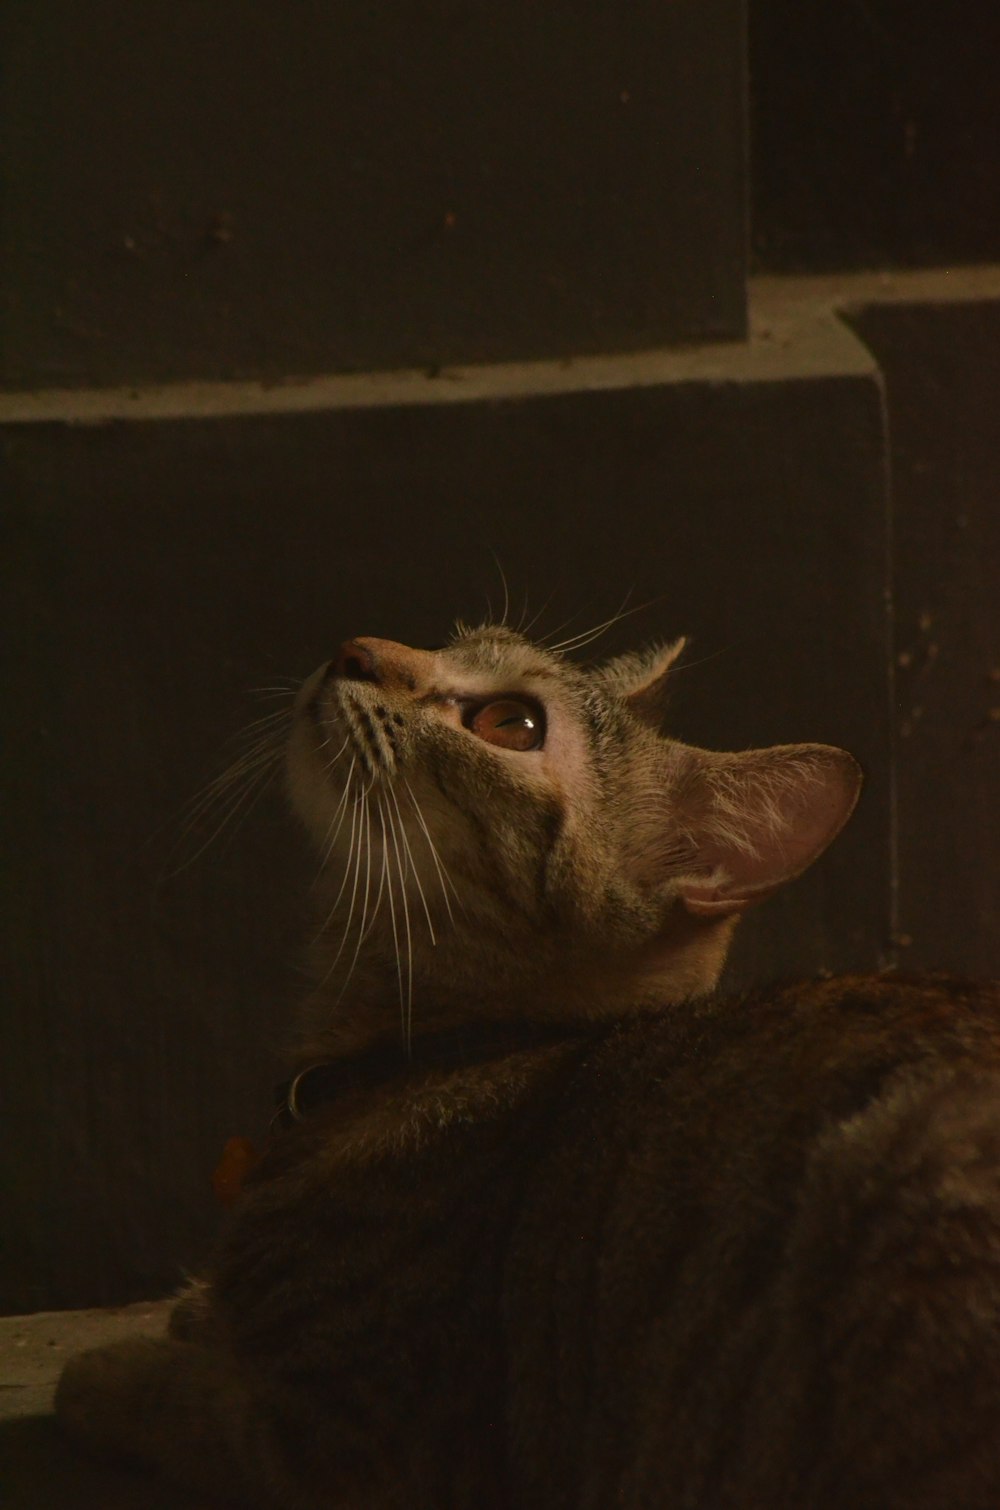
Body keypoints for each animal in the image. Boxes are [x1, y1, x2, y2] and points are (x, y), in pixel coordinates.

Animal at [56, 619, 1000, 1503]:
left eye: (510, 723)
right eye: (455, 641)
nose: (357, 647)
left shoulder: (353, 1449)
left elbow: (181, 1403)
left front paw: (115, 1368)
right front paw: (199, 1308)